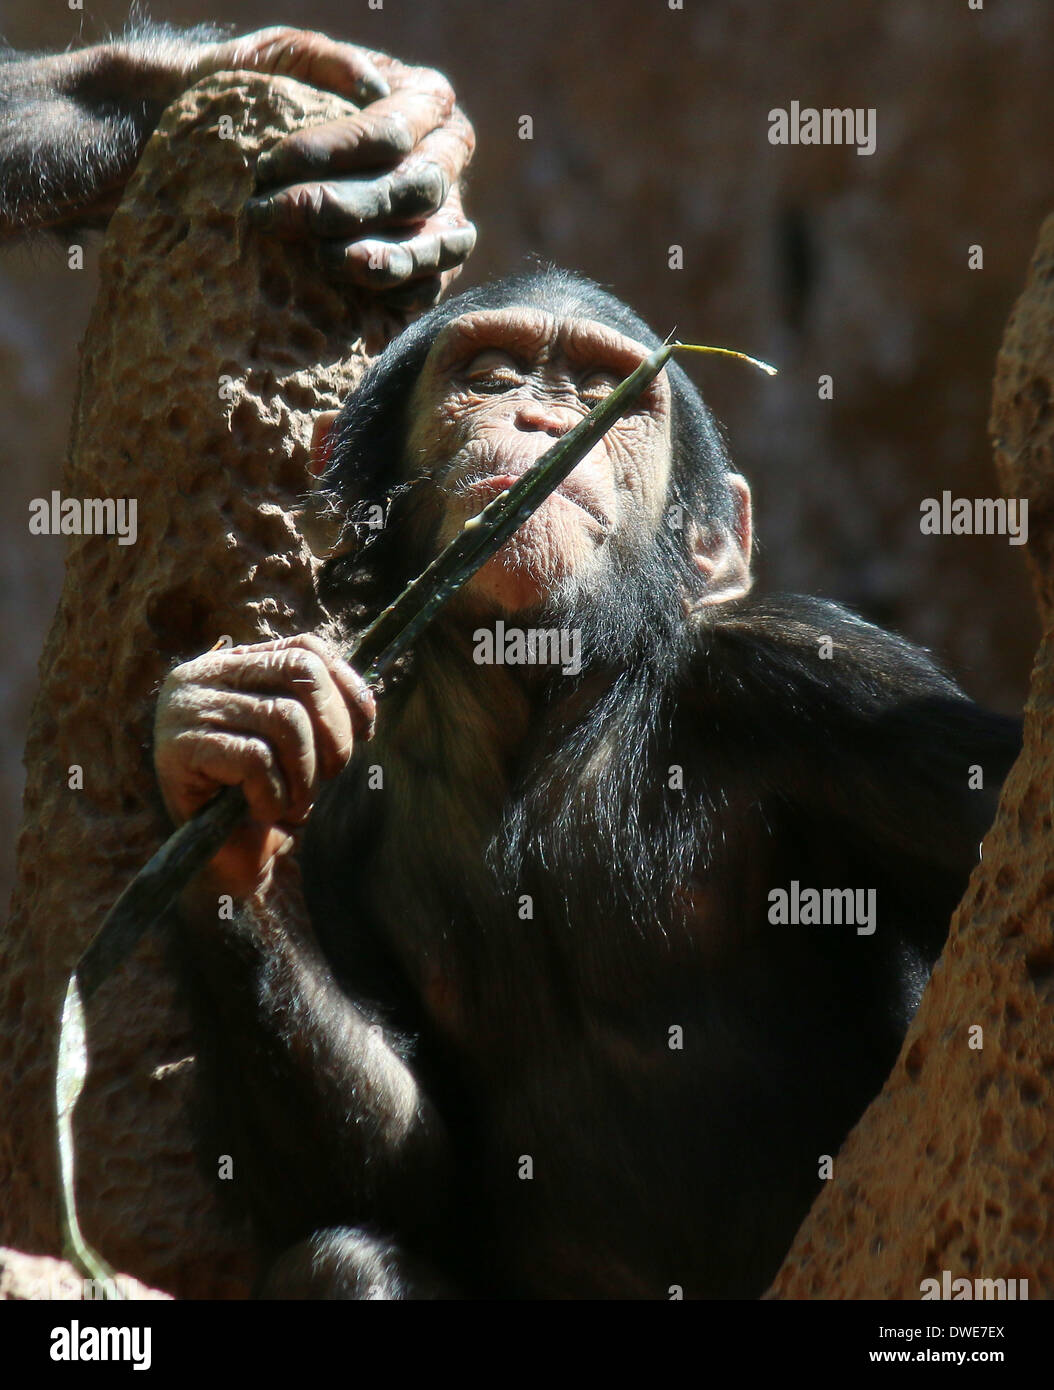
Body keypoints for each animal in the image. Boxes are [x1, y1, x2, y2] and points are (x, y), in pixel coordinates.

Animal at [152, 262, 1017, 1301]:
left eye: (612, 395)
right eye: (488, 374)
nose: (545, 419)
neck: (547, 703)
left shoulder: (825, 678)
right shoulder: (337, 813)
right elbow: (400, 1170)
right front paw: (221, 758)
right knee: (341, 1258)